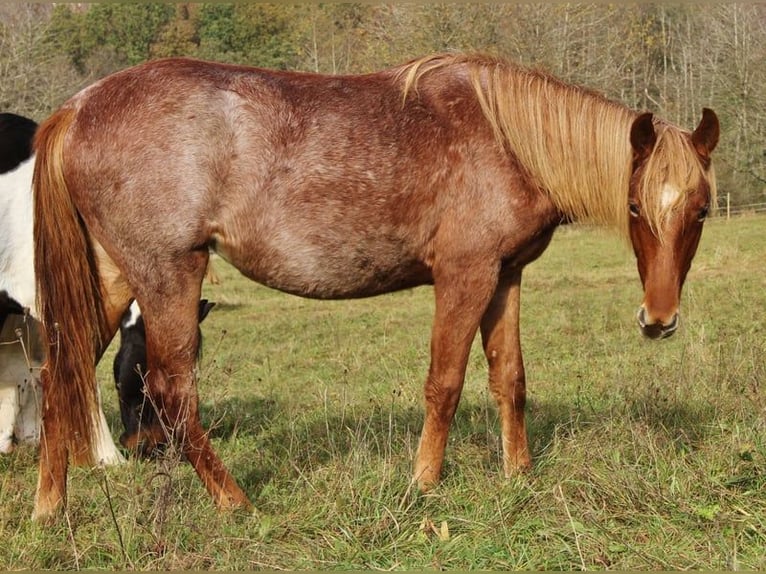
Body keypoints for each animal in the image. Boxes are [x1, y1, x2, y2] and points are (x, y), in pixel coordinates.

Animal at [30, 52, 718, 520]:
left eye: (702, 210)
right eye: (635, 208)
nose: (658, 319)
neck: (505, 139)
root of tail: (78, 106)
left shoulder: (506, 276)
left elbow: (510, 378)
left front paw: (518, 474)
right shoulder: (465, 274)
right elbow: (445, 382)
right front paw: (424, 483)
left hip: (112, 279)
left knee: (60, 370)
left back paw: (50, 507)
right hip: (168, 276)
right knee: (171, 390)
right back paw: (234, 501)